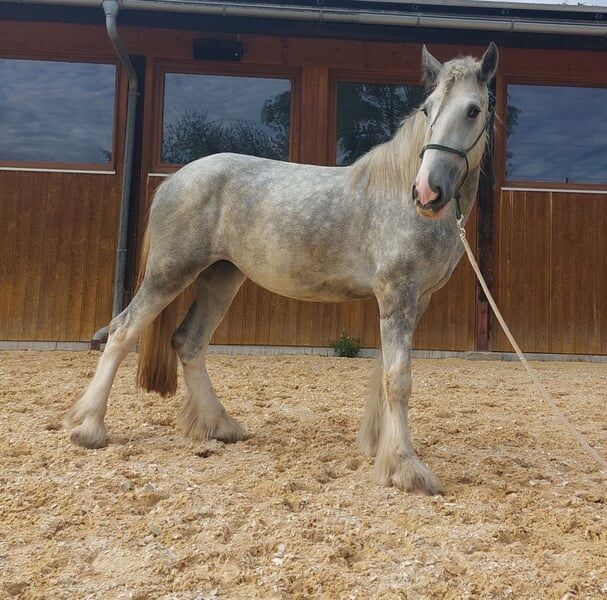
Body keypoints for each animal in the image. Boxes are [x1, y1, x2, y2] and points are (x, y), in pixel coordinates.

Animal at [65, 41, 498, 492]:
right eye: (428, 110)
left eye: (473, 110)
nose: (427, 192)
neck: (395, 194)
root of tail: (174, 181)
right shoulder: (397, 294)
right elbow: (397, 378)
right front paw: (406, 467)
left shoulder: (413, 300)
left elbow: (383, 371)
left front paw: (380, 449)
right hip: (170, 273)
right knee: (122, 331)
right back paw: (89, 427)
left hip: (221, 277)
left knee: (188, 342)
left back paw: (220, 424)